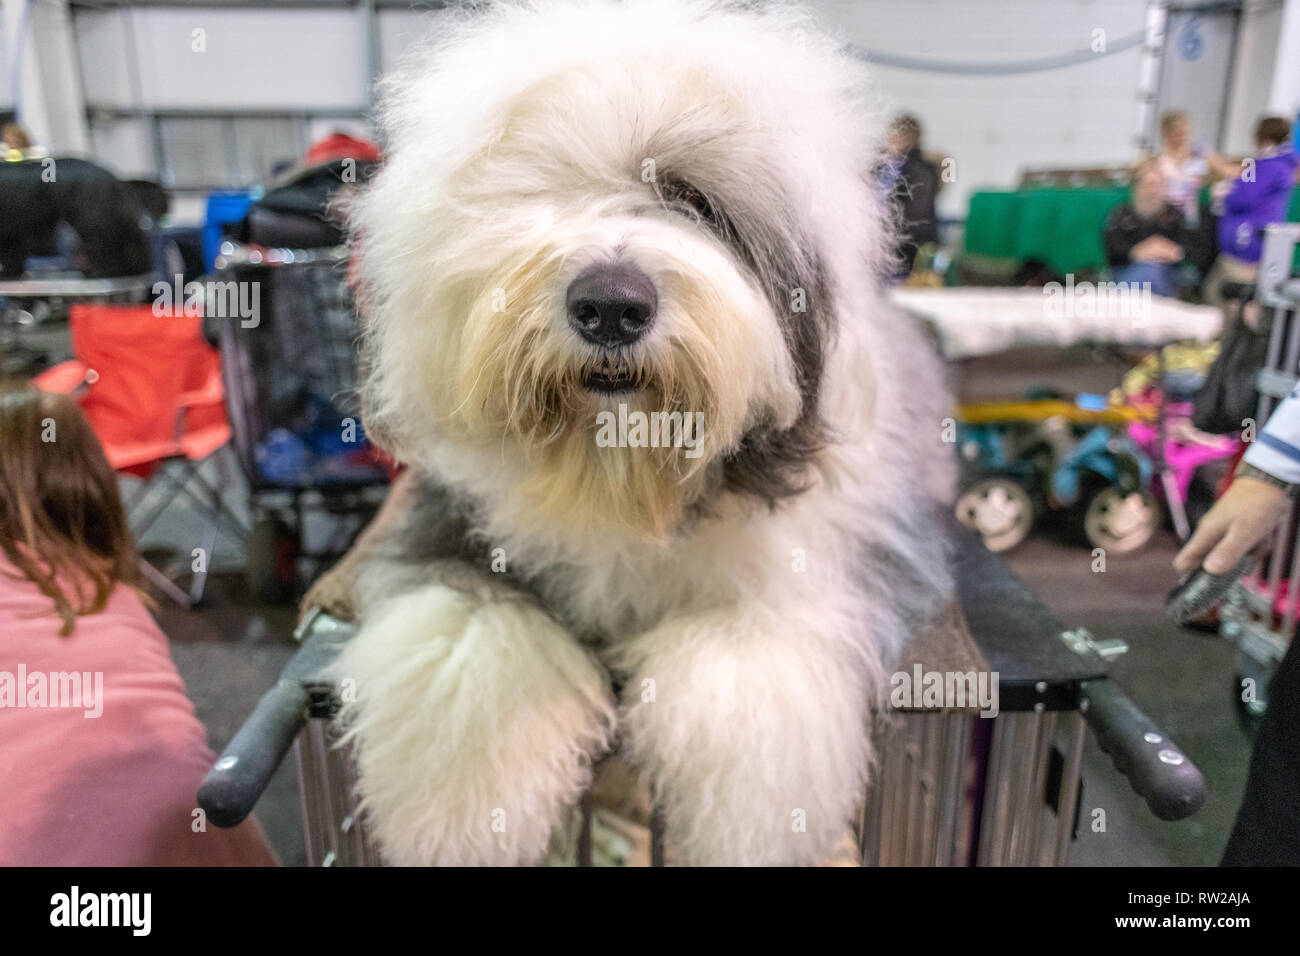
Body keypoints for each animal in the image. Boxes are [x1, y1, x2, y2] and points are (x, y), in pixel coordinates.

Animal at [327, 0, 956, 868]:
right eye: (539, 197)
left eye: (695, 201)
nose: (612, 306)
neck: (618, 472)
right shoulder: (445, 534)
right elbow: (470, 637)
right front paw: (464, 822)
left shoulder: (818, 573)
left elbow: (749, 689)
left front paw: (746, 833)